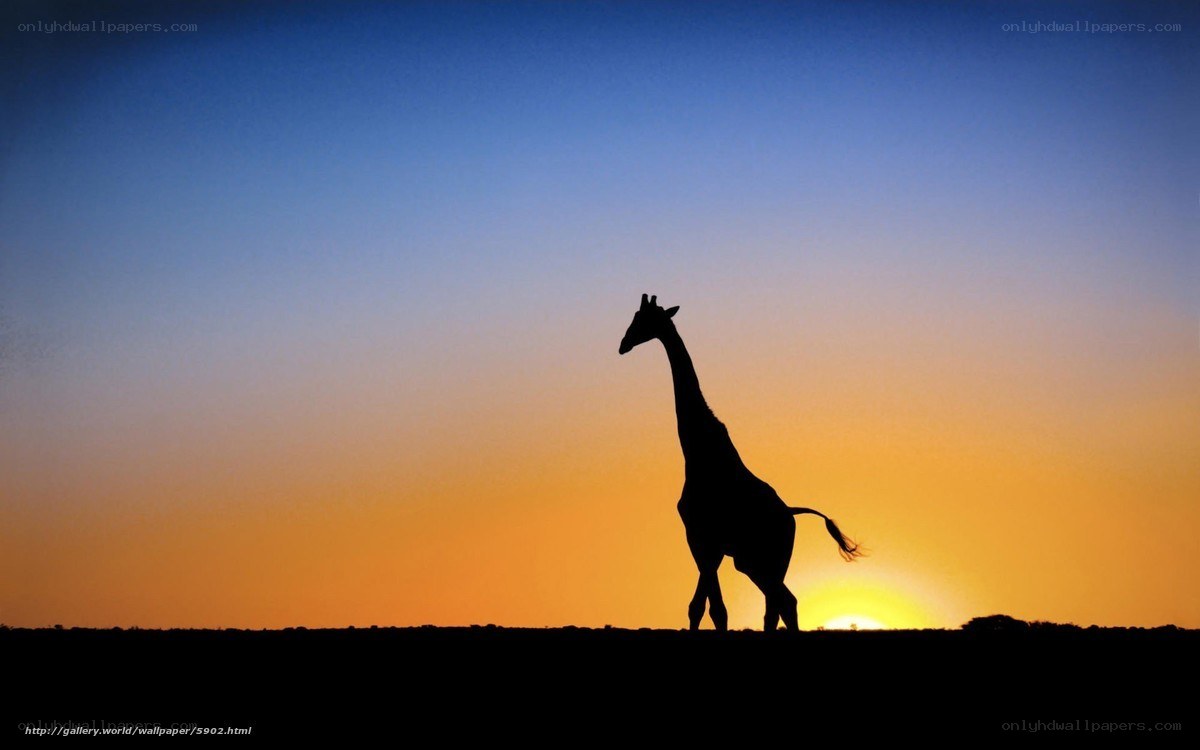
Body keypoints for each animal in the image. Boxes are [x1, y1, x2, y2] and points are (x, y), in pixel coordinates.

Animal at [619, 294, 861, 631]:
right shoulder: (710, 544)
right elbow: (701, 607)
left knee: (781, 602)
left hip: (761, 559)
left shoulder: (701, 536)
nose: (623, 344)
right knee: (781, 603)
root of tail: (791, 513)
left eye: (642, 319)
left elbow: (713, 609)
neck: (698, 451)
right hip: (758, 561)